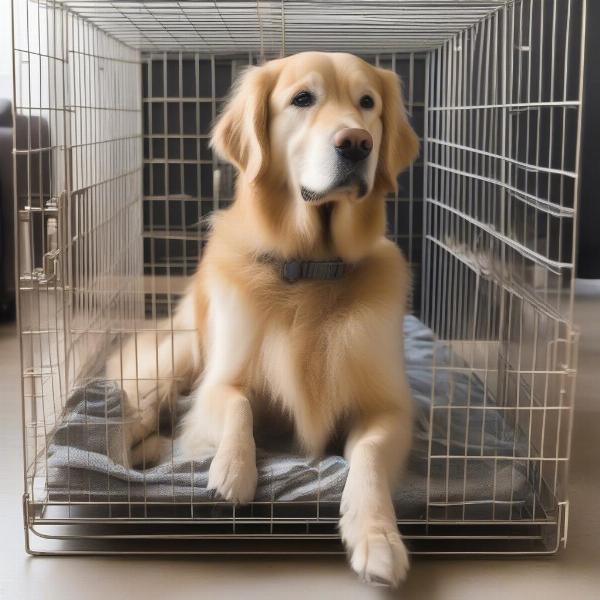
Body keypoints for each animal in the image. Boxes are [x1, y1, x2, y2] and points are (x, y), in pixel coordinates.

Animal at [106, 50, 418, 584]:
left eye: (367, 103)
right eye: (302, 99)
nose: (358, 142)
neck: (313, 269)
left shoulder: (388, 408)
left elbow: (371, 456)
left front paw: (377, 537)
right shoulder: (217, 382)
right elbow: (238, 405)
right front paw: (232, 470)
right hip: (173, 362)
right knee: (128, 420)